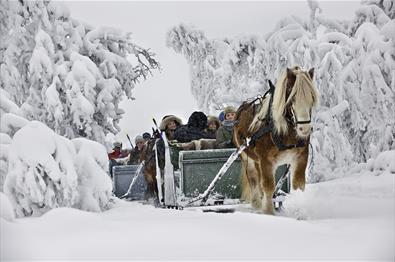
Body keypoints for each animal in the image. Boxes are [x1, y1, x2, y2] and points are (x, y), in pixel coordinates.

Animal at [234, 66, 320, 215]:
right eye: (292, 97)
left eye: (312, 97)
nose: (304, 128)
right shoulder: (265, 160)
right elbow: (268, 186)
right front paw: (269, 213)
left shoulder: (301, 157)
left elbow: (298, 185)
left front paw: (299, 212)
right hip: (246, 157)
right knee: (253, 178)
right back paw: (257, 204)